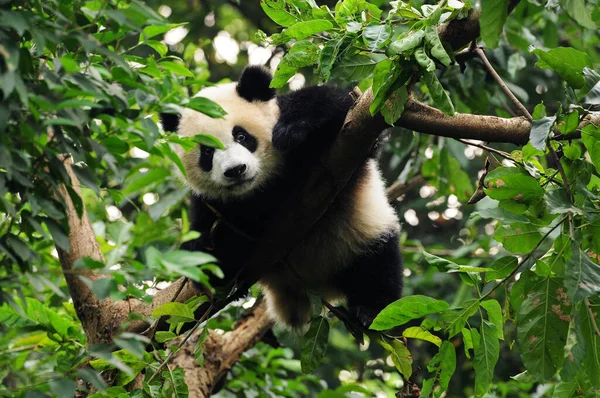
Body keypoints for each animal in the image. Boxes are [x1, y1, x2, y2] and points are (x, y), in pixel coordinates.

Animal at [162, 67, 400, 330]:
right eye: (207, 151)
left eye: (241, 136)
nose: (235, 170)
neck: (263, 188)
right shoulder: (212, 205)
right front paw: (203, 247)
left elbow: (337, 105)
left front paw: (291, 130)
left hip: (359, 234)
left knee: (377, 267)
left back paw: (370, 310)